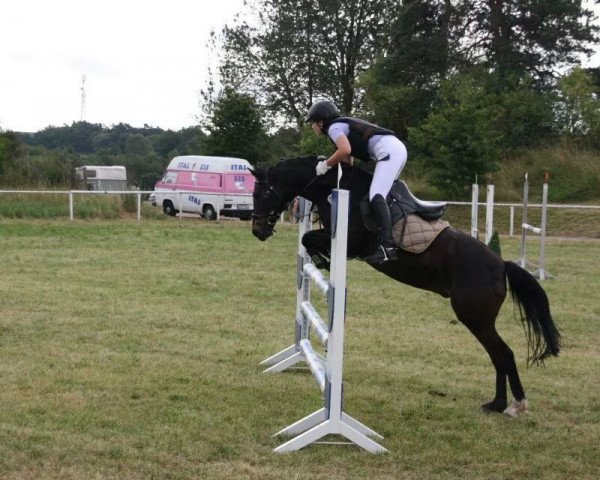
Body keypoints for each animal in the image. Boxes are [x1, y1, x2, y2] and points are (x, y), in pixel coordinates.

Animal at [251, 156, 560, 414]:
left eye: (261, 193)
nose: (257, 231)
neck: (335, 188)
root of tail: (501, 264)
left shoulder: (351, 242)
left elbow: (310, 239)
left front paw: (321, 259)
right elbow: (309, 240)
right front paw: (319, 260)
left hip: (475, 316)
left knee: (502, 353)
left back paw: (512, 404)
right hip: (478, 318)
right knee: (498, 355)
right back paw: (498, 404)